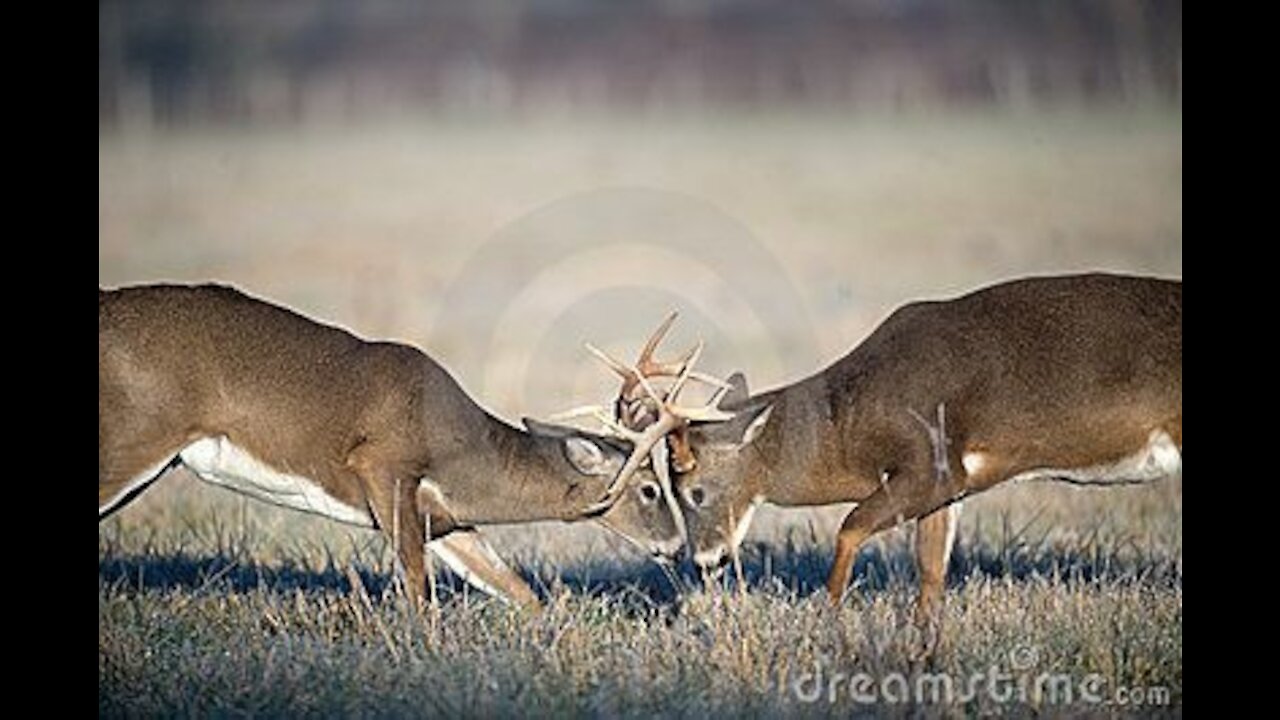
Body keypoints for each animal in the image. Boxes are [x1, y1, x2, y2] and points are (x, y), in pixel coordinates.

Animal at [99, 281, 686, 604]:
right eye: (651, 488)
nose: (679, 547)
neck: (462, 449)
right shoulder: (382, 466)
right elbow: (419, 594)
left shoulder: (445, 519)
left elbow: (518, 591)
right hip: (134, 435)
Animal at [586, 274, 1182, 617]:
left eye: (694, 490)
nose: (705, 560)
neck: (849, 424)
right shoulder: (949, 486)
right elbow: (931, 575)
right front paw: (924, 657)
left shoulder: (932, 465)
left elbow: (850, 527)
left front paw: (829, 619)